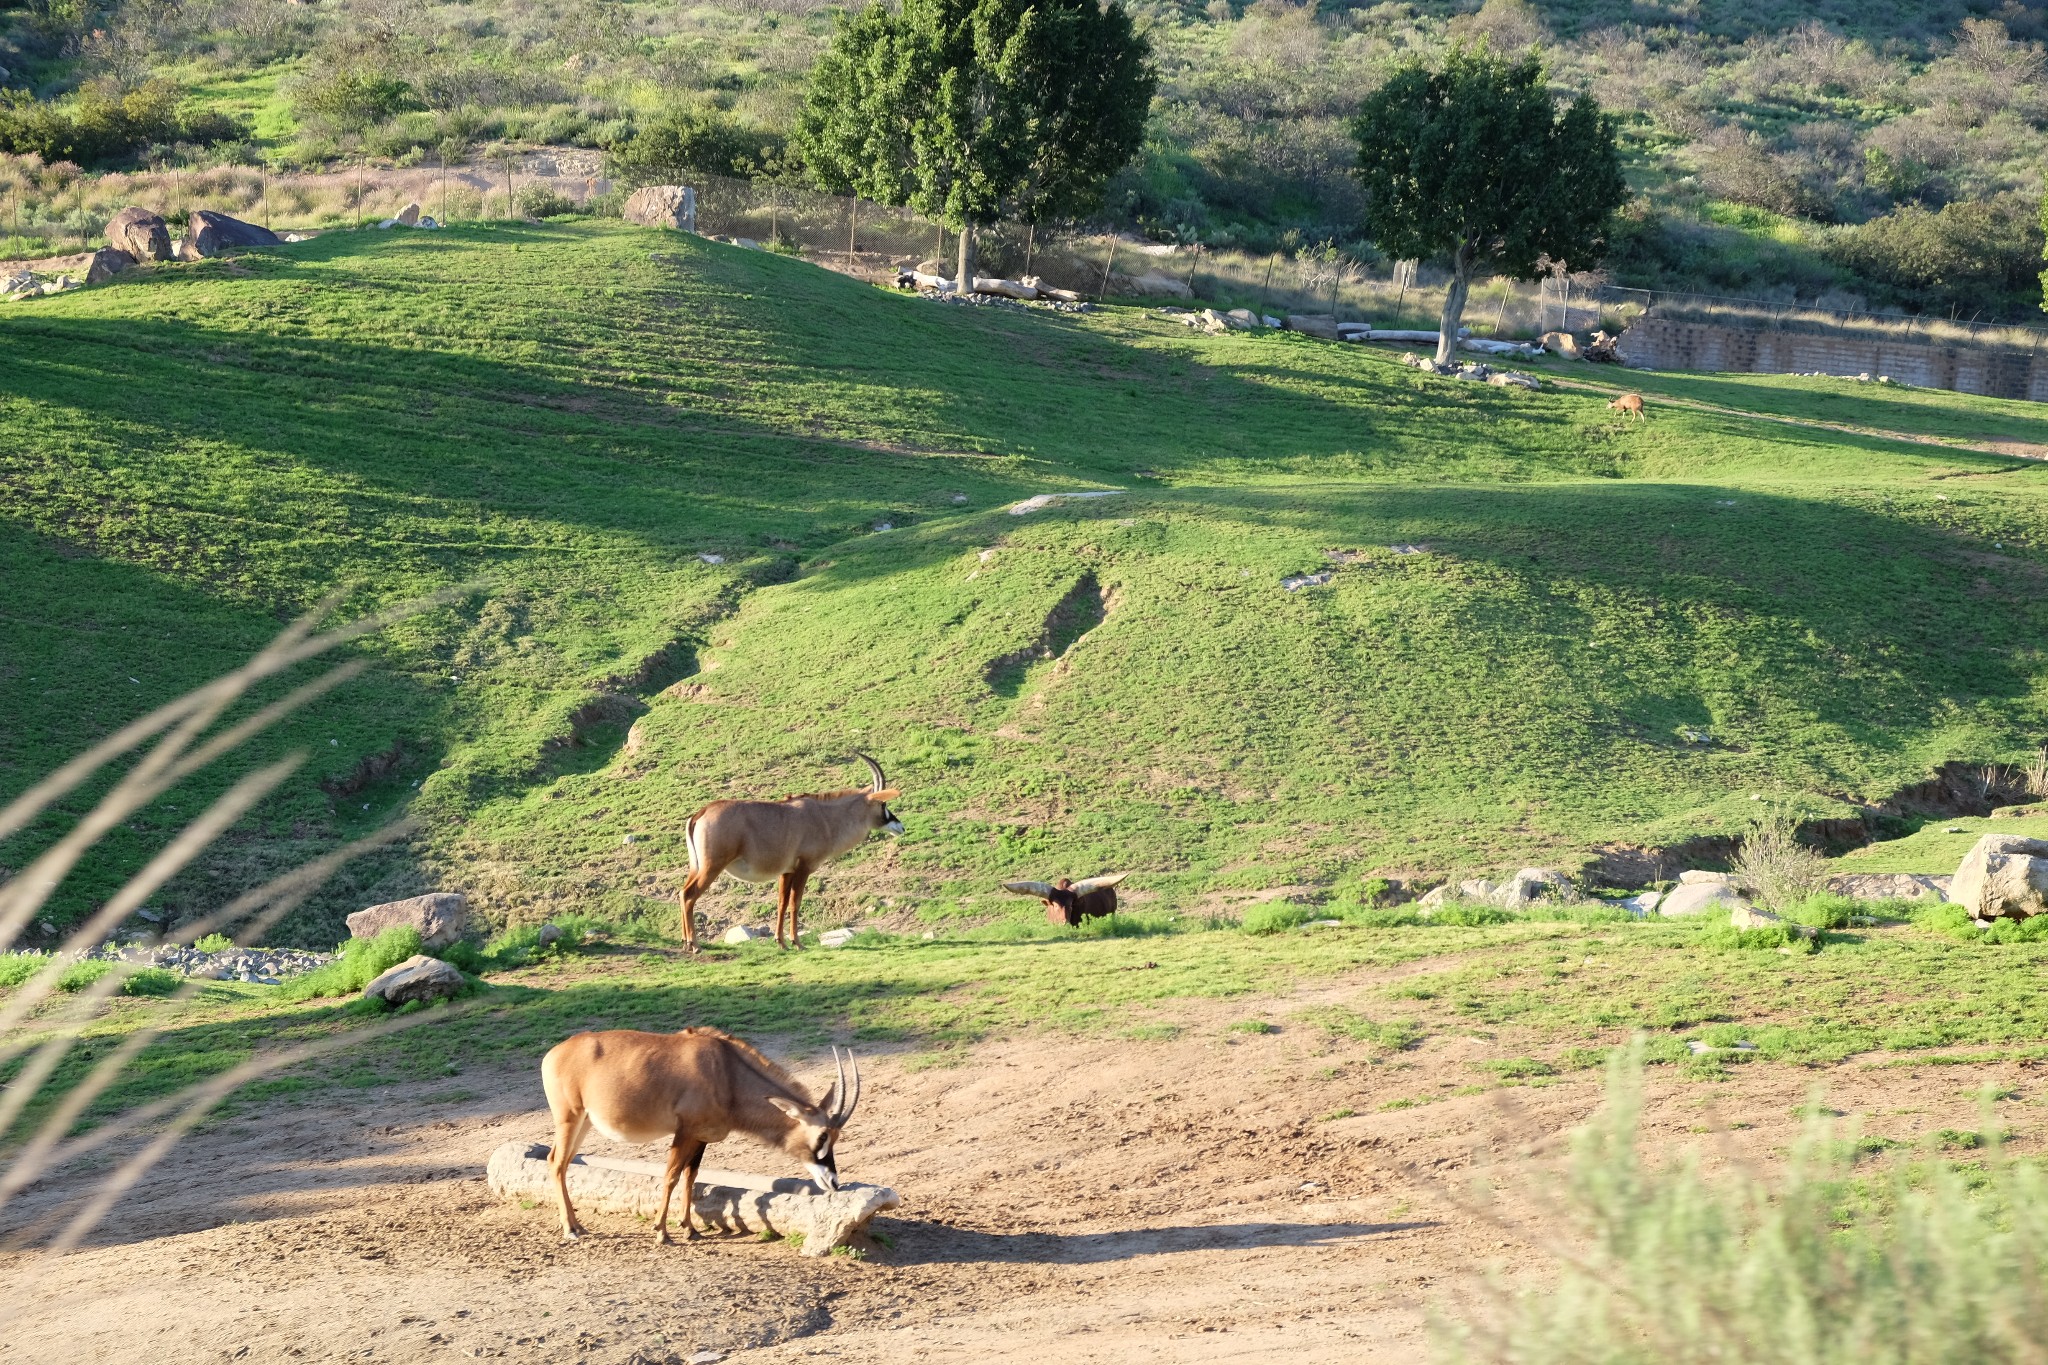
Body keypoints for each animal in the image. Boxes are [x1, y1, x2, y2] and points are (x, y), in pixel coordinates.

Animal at [540, 1031, 860, 1244]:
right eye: (822, 1135)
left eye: (837, 1136)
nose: (833, 1182)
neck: (727, 1074)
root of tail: (553, 1053)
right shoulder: (684, 1132)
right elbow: (671, 1176)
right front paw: (662, 1232)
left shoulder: (700, 1137)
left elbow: (690, 1177)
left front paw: (689, 1228)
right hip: (569, 1118)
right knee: (556, 1163)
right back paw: (570, 1229)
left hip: (583, 1123)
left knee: (562, 1162)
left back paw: (577, 1226)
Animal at [679, 753, 905, 957]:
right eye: (883, 804)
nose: (900, 826)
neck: (824, 817)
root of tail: (701, 813)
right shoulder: (803, 868)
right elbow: (796, 903)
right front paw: (797, 943)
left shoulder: (786, 871)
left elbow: (782, 903)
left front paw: (781, 942)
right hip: (712, 867)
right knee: (690, 895)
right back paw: (695, 945)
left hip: (697, 867)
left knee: (682, 892)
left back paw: (685, 942)